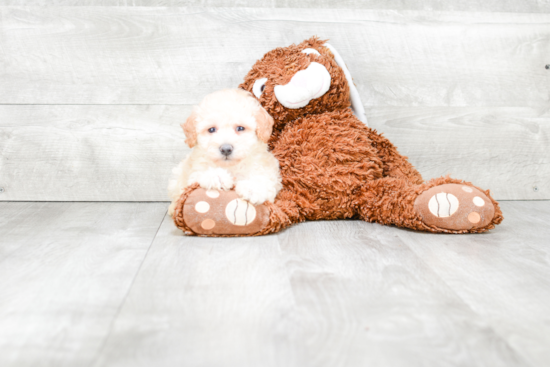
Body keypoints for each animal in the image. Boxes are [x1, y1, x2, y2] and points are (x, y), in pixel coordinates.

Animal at [167, 88, 280, 216]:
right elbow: (198, 176)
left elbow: (265, 180)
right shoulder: (194, 173)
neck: (231, 167)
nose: (226, 149)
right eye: (211, 129)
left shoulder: (266, 169)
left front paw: (252, 188)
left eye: (240, 128)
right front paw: (217, 177)